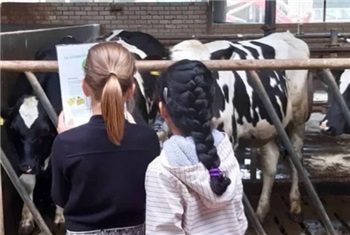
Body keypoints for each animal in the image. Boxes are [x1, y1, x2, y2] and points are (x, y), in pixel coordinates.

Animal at [1, 35, 81, 235]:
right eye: (13, 129)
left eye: (44, 131)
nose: (27, 165)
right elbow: (27, 183)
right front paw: (27, 220)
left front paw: (61, 217)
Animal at [165, 31, 314, 222]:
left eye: (210, 74)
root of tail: (287, 34)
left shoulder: (229, 136)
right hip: (267, 125)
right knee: (270, 161)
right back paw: (261, 211)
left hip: (297, 119)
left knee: (296, 157)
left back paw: (295, 203)